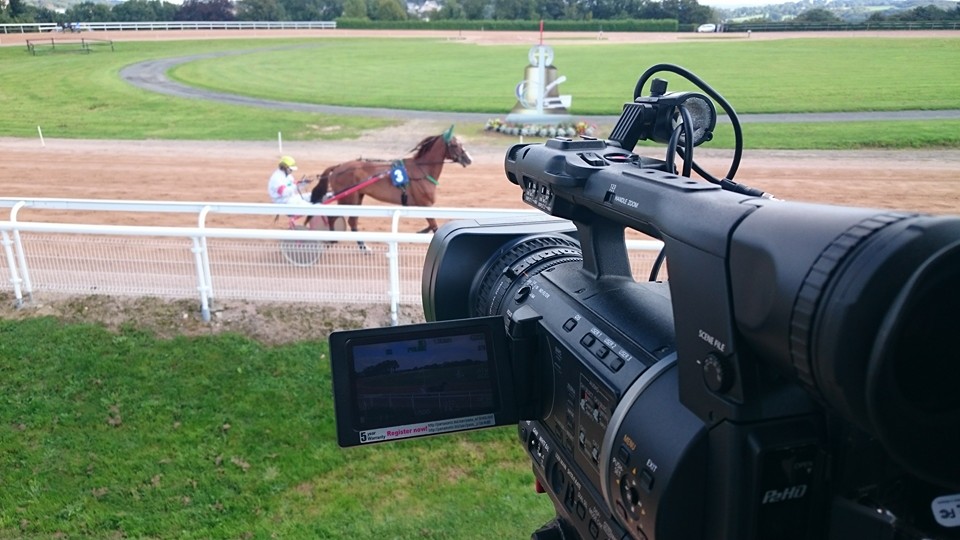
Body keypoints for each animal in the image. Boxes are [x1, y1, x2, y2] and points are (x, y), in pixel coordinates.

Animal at [310, 126, 470, 238]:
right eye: (455, 145)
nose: (469, 159)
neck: (422, 169)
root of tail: (338, 167)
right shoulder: (425, 204)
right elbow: (434, 225)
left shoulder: (423, 205)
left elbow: (432, 225)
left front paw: (421, 231)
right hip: (347, 199)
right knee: (333, 218)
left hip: (357, 197)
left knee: (351, 222)